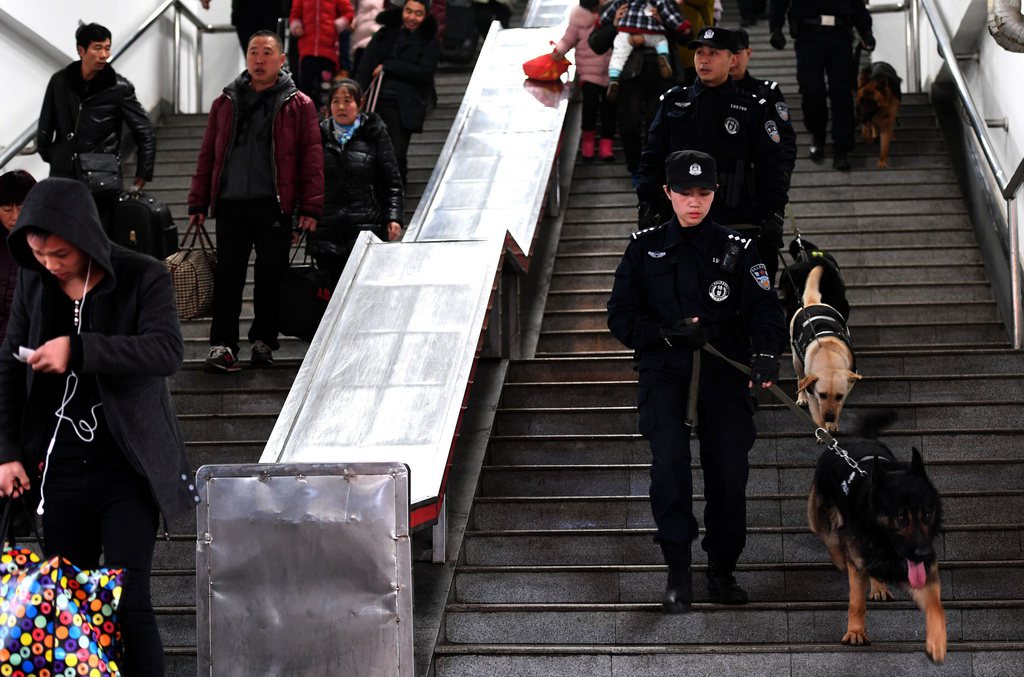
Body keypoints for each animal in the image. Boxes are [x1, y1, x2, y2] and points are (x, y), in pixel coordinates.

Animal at [778, 240, 860, 432]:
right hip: (797, 361)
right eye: (821, 394)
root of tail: (812, 302)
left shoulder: (847, 385)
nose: (829, 416)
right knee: (800, 380)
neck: (828, 357)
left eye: (838, 396)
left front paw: (833, 424)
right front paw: (823, 428)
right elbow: (815, 409)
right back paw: (801, 397)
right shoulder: (813, 390)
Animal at [811, 411, 946, 659]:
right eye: (901, 517)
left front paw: (937, 640)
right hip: (821, 509)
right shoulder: (858, 557)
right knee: (830, 536)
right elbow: (856, 601)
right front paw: (855, 632)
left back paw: (879, 587)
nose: (923, 553)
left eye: (927, 514)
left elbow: (935, 603)